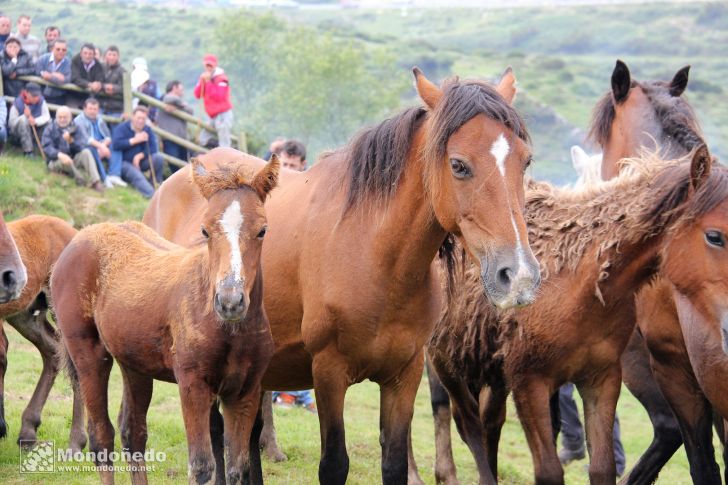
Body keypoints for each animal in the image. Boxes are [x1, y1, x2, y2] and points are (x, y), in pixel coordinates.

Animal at [52, 159, 280, 484]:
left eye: (262, 230)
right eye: (205, 230)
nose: (230, 301)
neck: (230, 330)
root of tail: (80, 237)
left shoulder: (244, 392)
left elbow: (237, 468)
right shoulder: (193, 385)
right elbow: (202, 466)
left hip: (134, 364)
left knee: (133, 433)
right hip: (88, 355)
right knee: (101, 438)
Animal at [142, 69, 540, 484]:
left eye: (525, 162)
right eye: (459, 165)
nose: (518, 275)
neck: (376, 257)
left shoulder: (404, 374)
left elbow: (394, 463)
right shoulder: (329, 372)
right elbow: (334, 463)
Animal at [426, 148, 724, 484]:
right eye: (715, 236)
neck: (579, 278)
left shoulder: (601, 378)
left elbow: (602, 466)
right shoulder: (530, 382)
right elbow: (549, 470)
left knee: (489, 423)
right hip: (444, 359)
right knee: (465, 422)